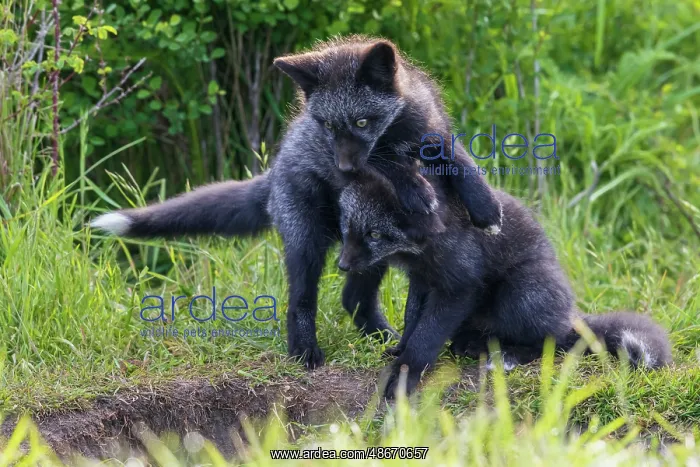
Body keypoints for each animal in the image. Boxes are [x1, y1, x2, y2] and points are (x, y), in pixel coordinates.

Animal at [90, 36, 504, 369]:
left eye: (363, 121)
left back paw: (383, 337)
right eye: (328, 126)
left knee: (353, 298)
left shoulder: (433, 130)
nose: (344, 168)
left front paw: (485, 207)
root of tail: (274, 174)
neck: (397, 134)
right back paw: (305, 353)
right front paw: (414, 187)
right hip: (310, 243)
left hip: (366, 249)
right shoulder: (367, 165)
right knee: (301, 301)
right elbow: (389, 165)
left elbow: (459, 160)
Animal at [337, 170, 672, 398]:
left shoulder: (459, 286)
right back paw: (475, 346)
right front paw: (399, 351)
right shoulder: (421, 279)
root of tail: (571, 313)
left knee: (553, 341)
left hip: (520, 293)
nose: (341, 265)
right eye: (348, 227)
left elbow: (427, 335)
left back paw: (507, 357)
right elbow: (411, 321)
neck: (423, 247)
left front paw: (406, 371)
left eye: (374, 234)